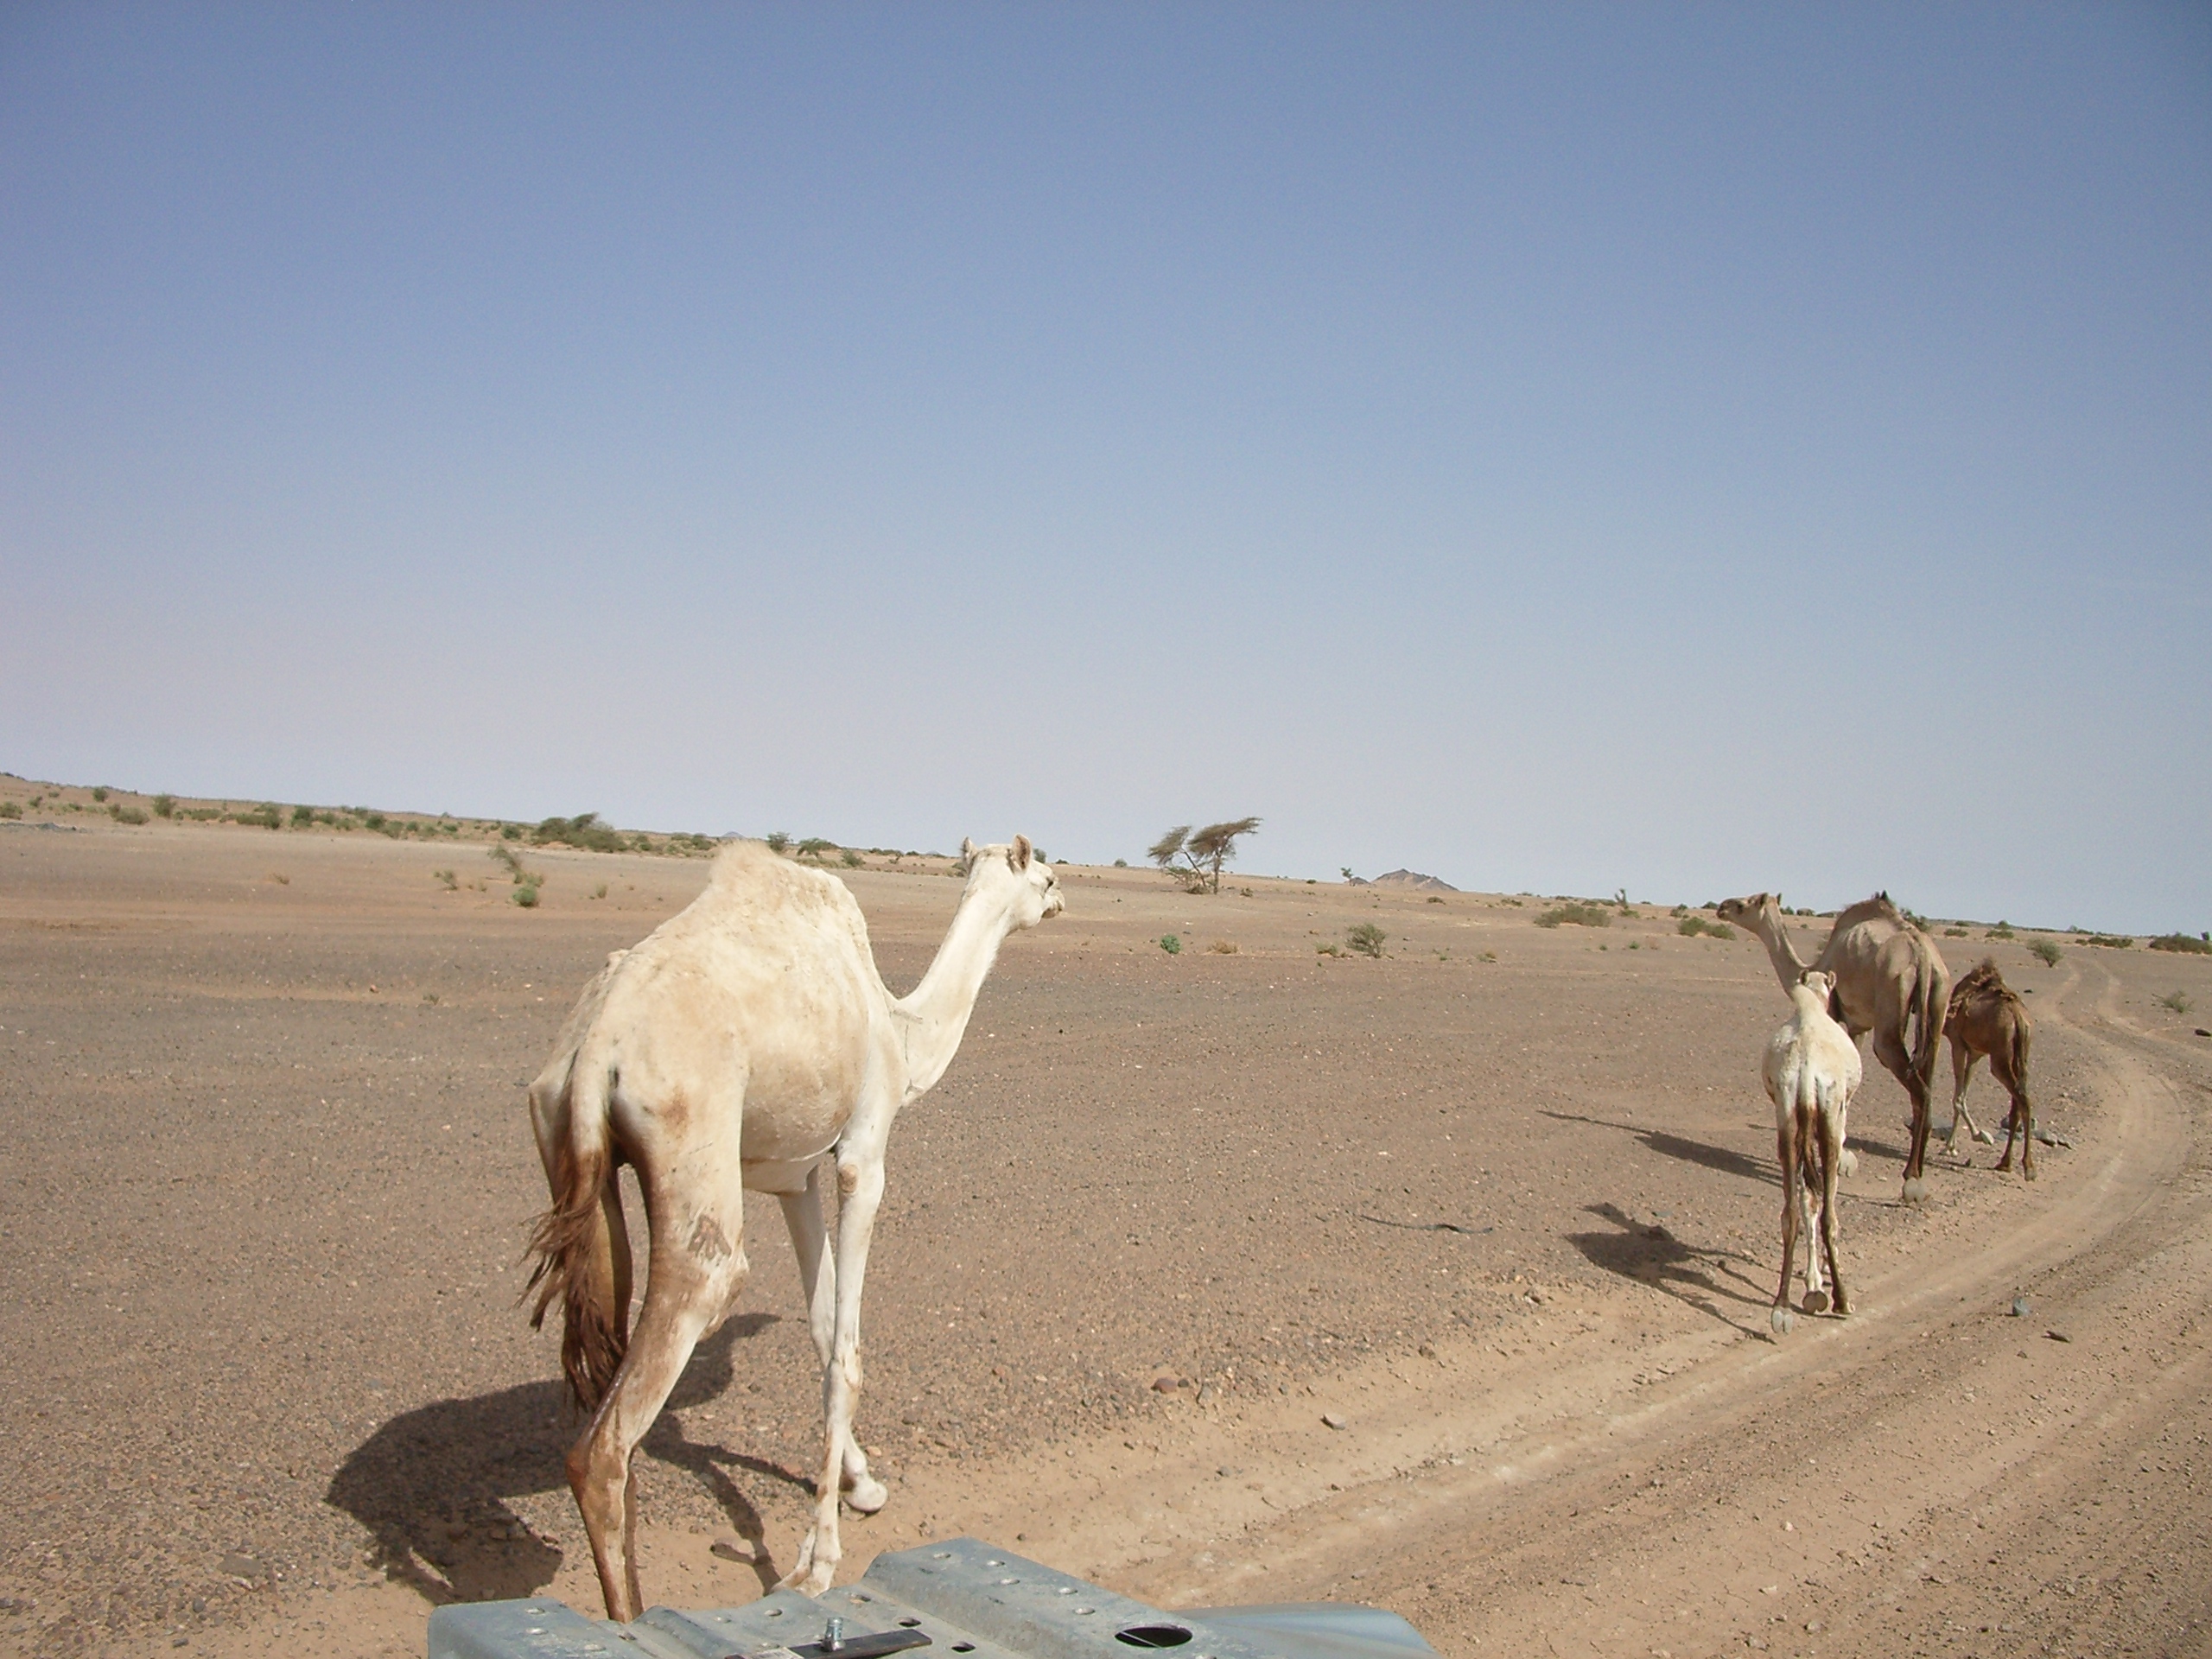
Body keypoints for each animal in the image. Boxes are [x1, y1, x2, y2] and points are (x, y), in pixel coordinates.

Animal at [525, 836, 1063, 1618]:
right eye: (1044, 876)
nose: (1063, 898)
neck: (901, 1030)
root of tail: (597, 1049)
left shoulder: (794, 1173)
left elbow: (820, 1324)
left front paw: (863, 1486)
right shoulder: (862, 1154)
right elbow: (847, 1347)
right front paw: (816, 1562)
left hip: (567, 1147)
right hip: (691, 1147)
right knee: (616, 1429)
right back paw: (633, 1620)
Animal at [1717, 891, 1950, 1203]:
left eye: (1744, 905)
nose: (1722, 907)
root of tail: (1921, 953)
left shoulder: (1833, 1013)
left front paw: (1835, 1158)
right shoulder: (1857, 1025)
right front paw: (1841, 1155)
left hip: (1891, 1002)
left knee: (1917, 1087)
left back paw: (1911, 1177)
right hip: (1938, 1002)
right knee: (1929, 1078)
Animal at [1763, 970, 1862, 1335]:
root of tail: (1806, 1070)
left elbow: (1807, 1200)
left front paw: (1813, 1284)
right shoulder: (1840, 1114)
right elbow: (1821, 1202)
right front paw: (1820, 1285)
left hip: (1787, 1117)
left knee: (1791, 1211)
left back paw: (1781, 1308)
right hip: (1830, 1117)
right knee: (1830, 1213)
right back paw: (1843, 1299)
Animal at [1941, 957, 2035, 1177]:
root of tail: (2018, 1018)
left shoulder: (1958, 1044)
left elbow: (1957, 1097)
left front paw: (1955, 1144)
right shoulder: (1975, 1053)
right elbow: (1962, 1094)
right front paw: (1953, 1146)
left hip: (2000, 1058)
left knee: (2023, 1099)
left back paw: (2028, 1167)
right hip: (2021, 1056)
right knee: (2017, 1103)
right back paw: (2005, 1163)